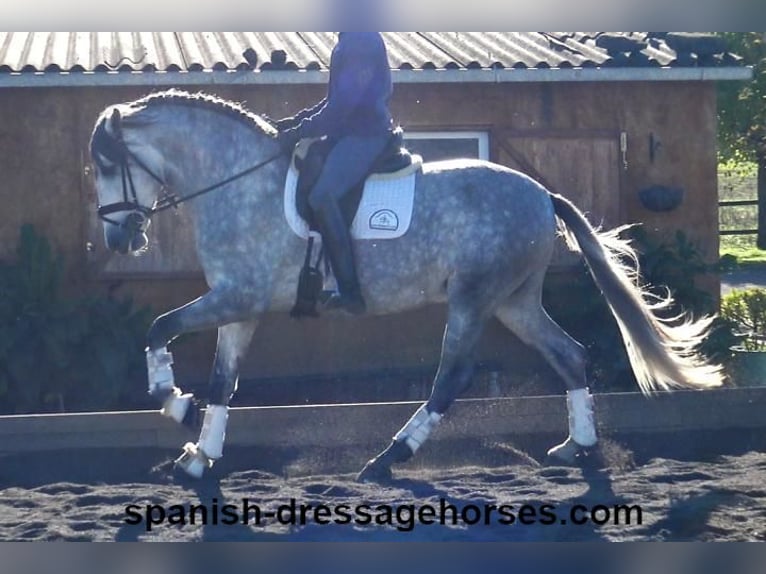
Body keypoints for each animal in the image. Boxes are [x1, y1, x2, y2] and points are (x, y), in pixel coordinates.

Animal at [90, 90, 728, 482]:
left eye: (106, 164)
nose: (119, 240)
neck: (238, 183)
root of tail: (542, 194)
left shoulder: (234, 298)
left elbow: (159, 328)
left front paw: (176, 404)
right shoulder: (238, 306)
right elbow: (224, 382)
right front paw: (199, 454)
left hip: (473, 298)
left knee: (453, 377)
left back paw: (386, 459)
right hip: (514, 300)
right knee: (569, 355)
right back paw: (579, 448)